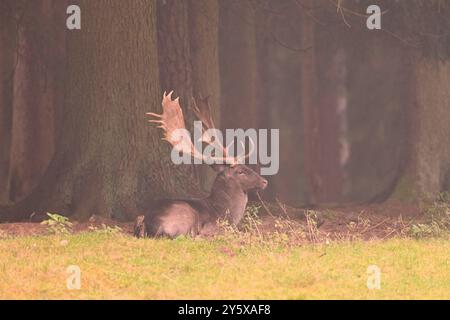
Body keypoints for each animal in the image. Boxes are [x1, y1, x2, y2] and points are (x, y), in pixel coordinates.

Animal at [134, 90, 268, 238]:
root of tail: (149, 223)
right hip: (184, 218)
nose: (264, 181)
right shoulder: (215, 226)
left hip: (140, 217)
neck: (224, 212)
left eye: (247, 166)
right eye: (241, 171)